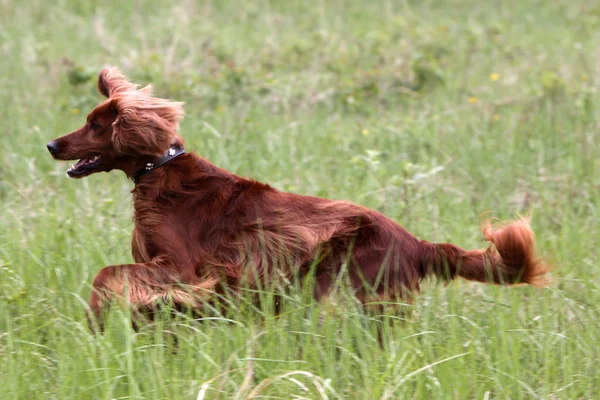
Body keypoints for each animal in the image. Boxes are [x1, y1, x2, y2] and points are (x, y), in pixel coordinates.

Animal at [48, 68, 548, 332]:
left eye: (96, 125)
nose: (52, 145)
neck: (159, 172)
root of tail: (417, 243)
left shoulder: (183, 269)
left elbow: (107, 275)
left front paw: (95, 320)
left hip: (367, 295)